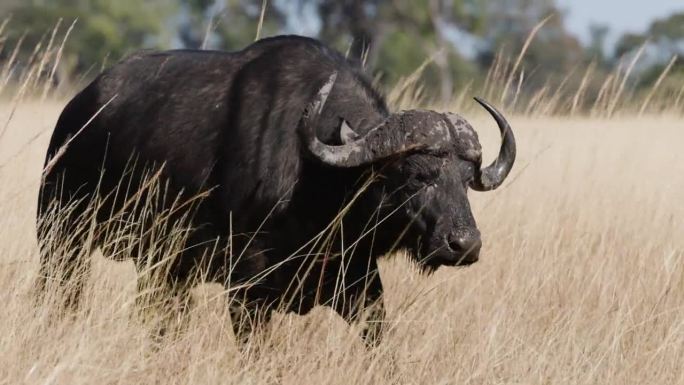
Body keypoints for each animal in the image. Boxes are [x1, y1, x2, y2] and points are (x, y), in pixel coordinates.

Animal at [37, 34, 516, 344]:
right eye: (416, 175)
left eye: (466, 179)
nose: (464, 244)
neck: (319, 186)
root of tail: (76, 111)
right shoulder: (247, 293)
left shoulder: (360, 285)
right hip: (61, 240)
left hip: (162, 269)